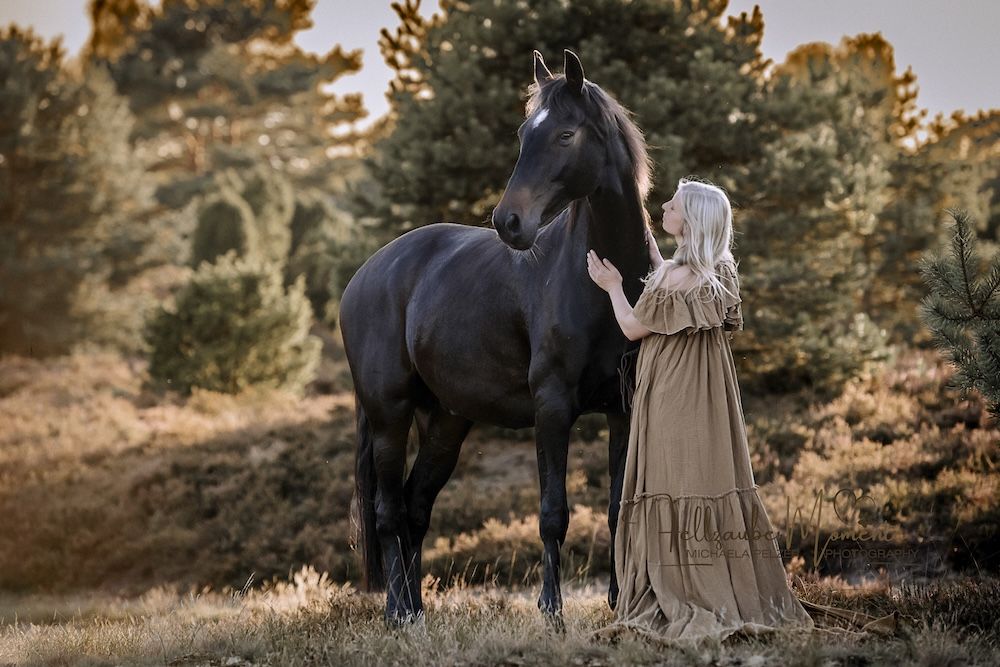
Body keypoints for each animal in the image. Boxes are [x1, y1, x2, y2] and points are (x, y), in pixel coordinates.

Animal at [341, 49, 653, 624]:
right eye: (524, 133)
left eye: (566, 134)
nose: (509, 221)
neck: (606, 284)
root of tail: (366, 275)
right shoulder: (551, 407)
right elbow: (553, 512)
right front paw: (551, 611)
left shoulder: (623, 407)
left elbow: (618, 507)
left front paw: (622, 605)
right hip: (389, 416)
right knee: (389, 512)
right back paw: (398, 612)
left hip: (446, 421)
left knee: (416, 508)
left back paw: (417, 611)